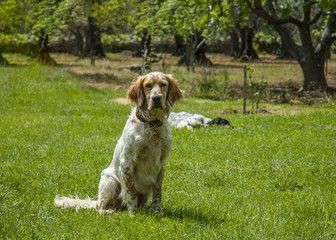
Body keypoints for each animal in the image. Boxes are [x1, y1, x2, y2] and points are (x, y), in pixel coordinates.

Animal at [53, 72, 182, 215]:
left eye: (163, 84)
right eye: (147, 85)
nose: (156, 98)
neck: (152, 125)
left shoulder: (161, 164)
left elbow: (157, 192)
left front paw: (157, 211)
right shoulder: (127, 163)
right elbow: (130, 192)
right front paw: (133, 214)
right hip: (109, 180)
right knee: (101, 206)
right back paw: (109, 211)